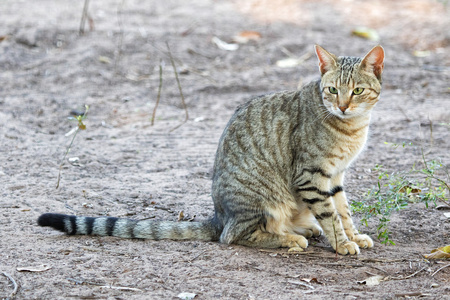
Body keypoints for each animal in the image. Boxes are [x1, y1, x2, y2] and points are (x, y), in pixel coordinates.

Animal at [37, 44, 384, 255]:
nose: (342, 105)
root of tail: (219, 214)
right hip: (265, 200)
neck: (351, 127)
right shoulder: (311, 175)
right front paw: (342, 243)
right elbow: (331, 214)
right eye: (332, 89)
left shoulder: (335, 176)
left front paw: (353, 236)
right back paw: (291, 238)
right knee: (233, 235)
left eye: (357, 91)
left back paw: (304, 230)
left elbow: (343, 210)